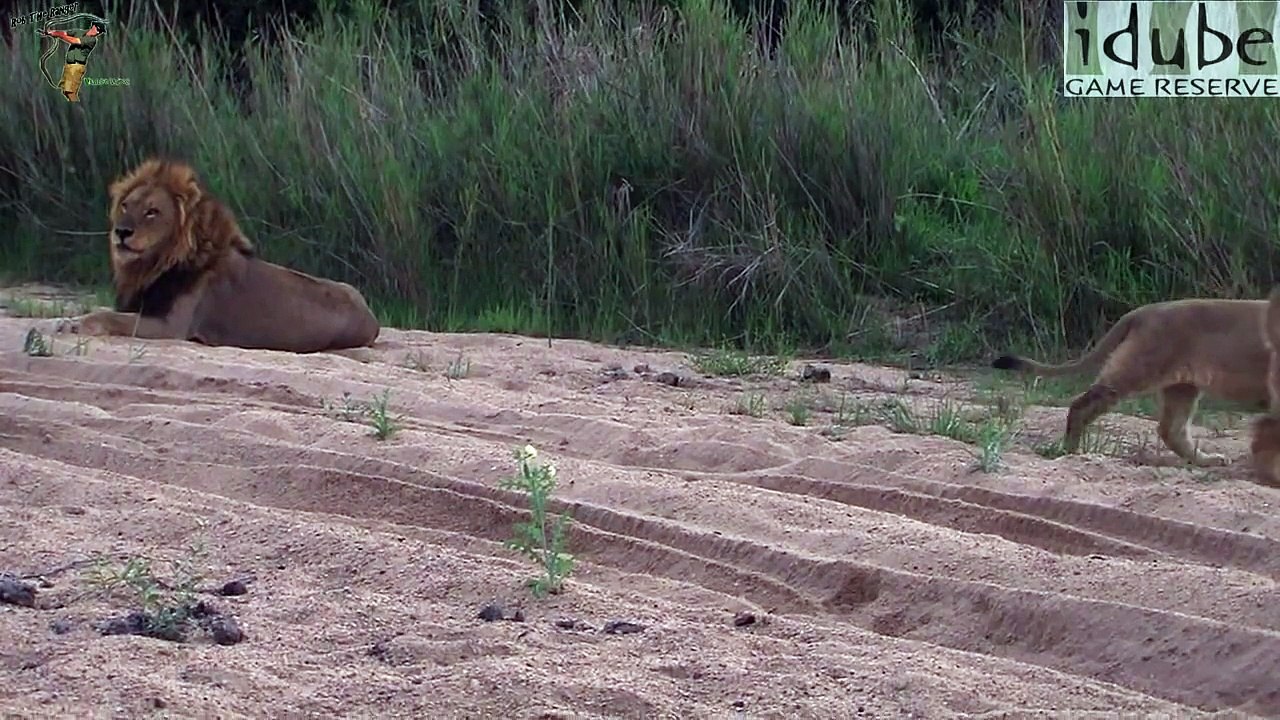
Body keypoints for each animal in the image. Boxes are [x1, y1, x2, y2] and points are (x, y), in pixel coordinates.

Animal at [53, 158, 381, 354]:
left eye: (152, 211)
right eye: (125, 205)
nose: (121, 232)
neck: (152, 266)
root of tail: (371, 316)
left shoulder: (172, 327)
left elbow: (109, 316)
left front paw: (76, 325)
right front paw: (67, 320)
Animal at [991, 297, 1275, 467]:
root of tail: (1145, 311)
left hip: (1182, 386)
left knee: (1172, 429)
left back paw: (1206, 460)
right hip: (1137, 370)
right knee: (1081, 405)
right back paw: (1071, 452)